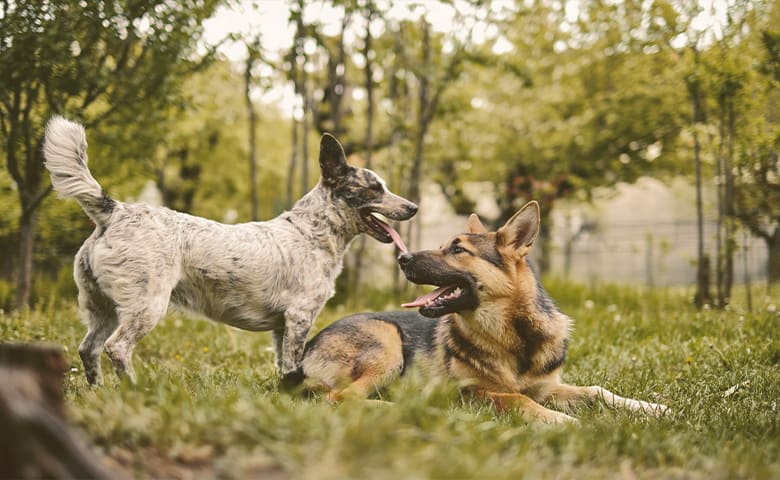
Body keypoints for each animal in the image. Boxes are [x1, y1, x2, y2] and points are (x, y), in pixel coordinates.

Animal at [41, 117, 420, 386]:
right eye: (374, 189)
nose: (413, 207)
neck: (311, 232)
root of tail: (115, 210)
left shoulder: (281, 327)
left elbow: (285, 366)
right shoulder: (299, 317)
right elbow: (296, 362)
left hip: (100, 307)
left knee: (88, 349)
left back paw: (99, 392)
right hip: (146, 306)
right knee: (116, 348)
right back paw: (133, 388)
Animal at [302, 202, 668, 424]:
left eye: (457, 249)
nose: (401, 258)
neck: (513, 335)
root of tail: (305, 353)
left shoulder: (547, 388)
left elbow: (597, 391)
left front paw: (649, 407)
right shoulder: (470, 391)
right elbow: (518, 400)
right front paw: (561, 420)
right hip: (387, 344)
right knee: (341, 397)